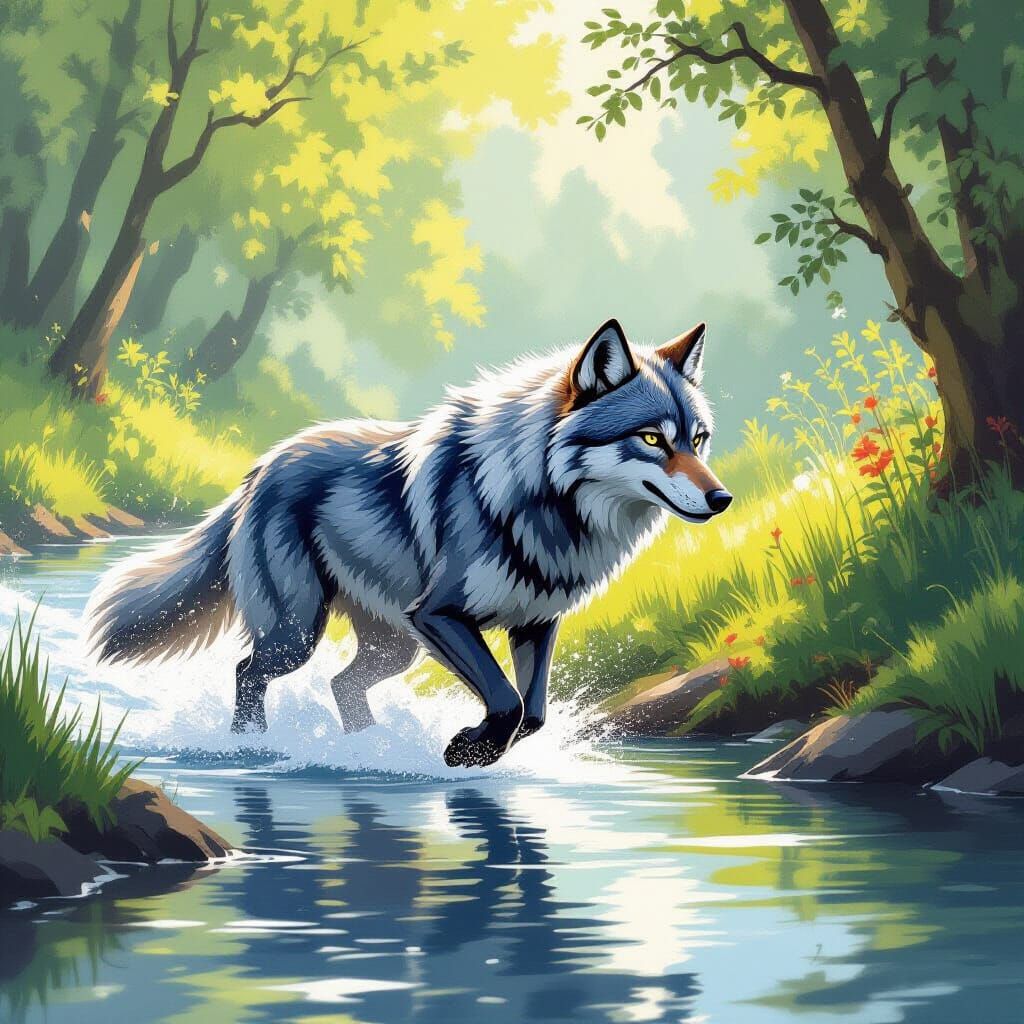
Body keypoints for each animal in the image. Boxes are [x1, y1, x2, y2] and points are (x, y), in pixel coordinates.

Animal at [86, 318, 731, 767]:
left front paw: (474, 749)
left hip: (396, 647)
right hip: (301, 634)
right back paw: (254, 744)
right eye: (652, 439)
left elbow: (536, 714)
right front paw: (469, 751)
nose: (723, 498)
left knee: (341, 683)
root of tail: (261, 468)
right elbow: (507, 701)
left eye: (697, 439)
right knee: (248, 670)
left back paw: (367, 748)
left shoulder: (535, 623)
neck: (544, 507)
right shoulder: (440, 614)